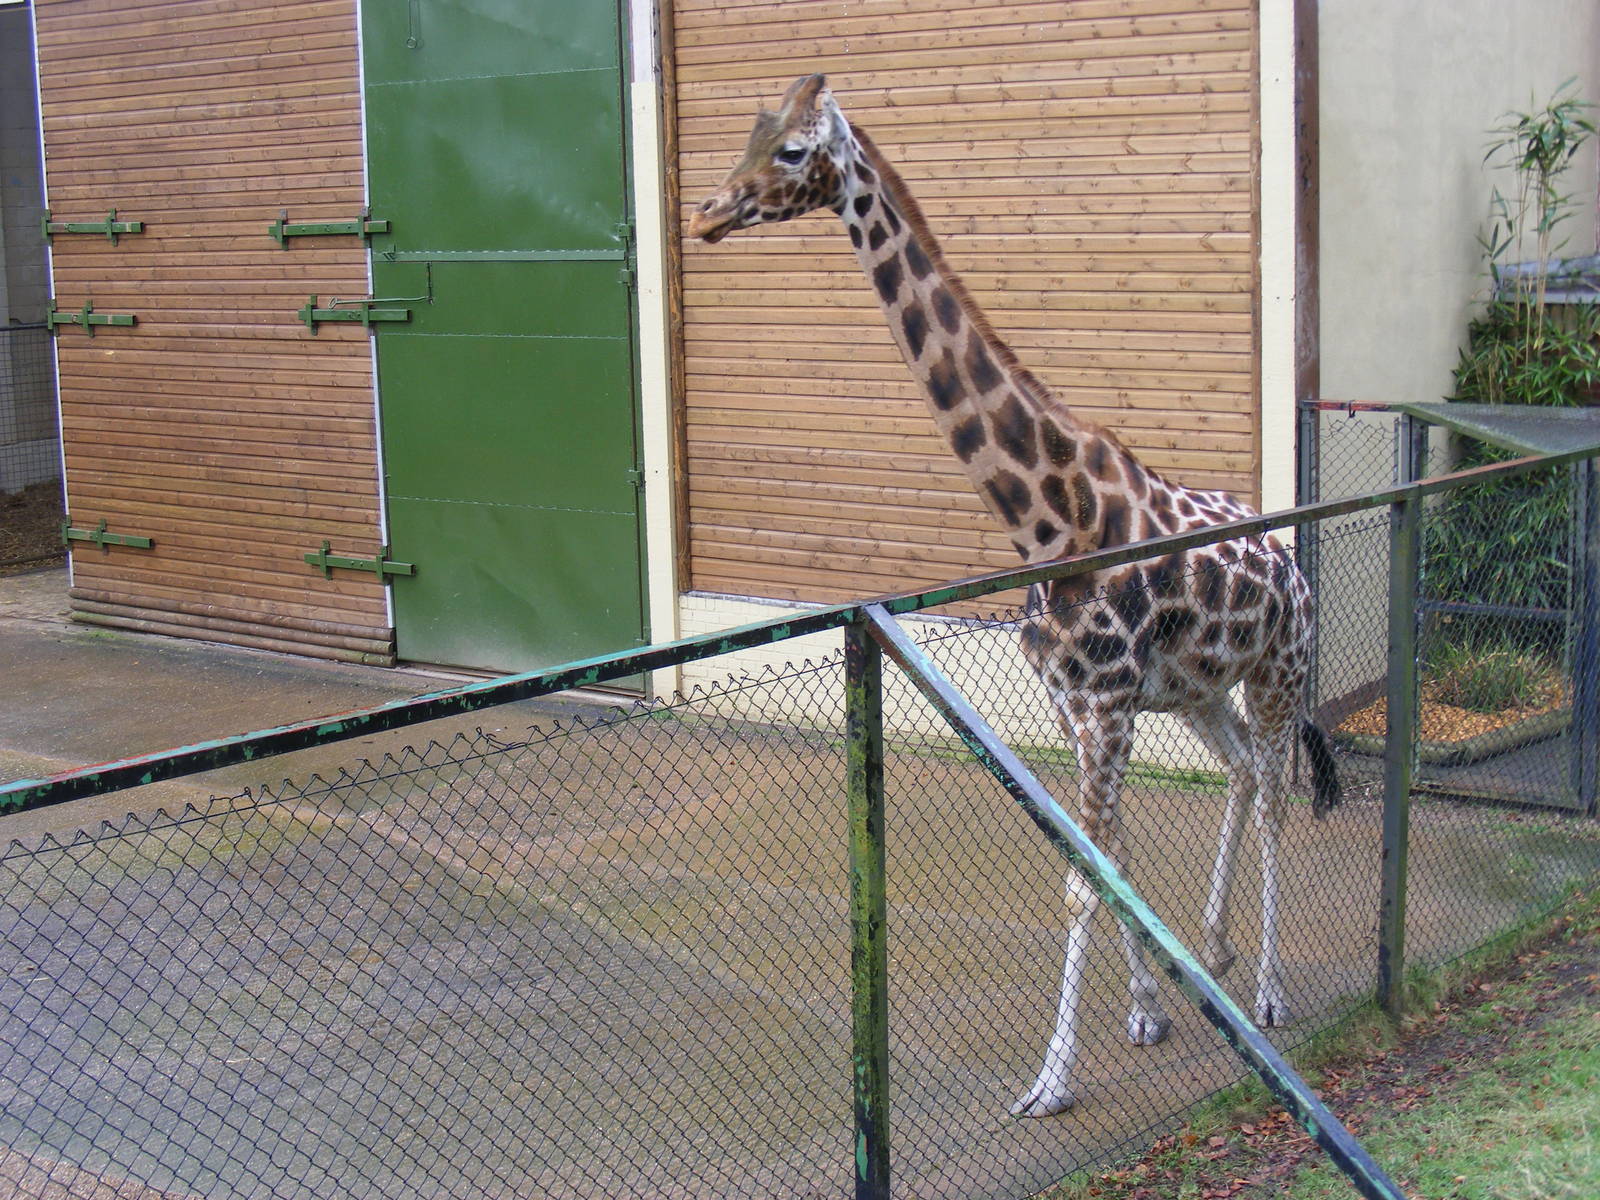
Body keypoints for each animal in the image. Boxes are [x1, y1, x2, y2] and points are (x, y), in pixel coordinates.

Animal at [688, 75, 1341, 1118]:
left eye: (791, 150)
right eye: (750, 130)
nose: (708, 211)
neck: (1047, 516)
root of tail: (1291, 561)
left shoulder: (1106, 706)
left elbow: (1084, 878)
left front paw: (1051, 1079)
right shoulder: (1081, 703)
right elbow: (1102, 858)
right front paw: (1148, 1010)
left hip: (1279, 671)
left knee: (1277, 792)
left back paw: (1272, 990)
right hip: (1198, 692)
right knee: (1242, 771)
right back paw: (1215, 946)